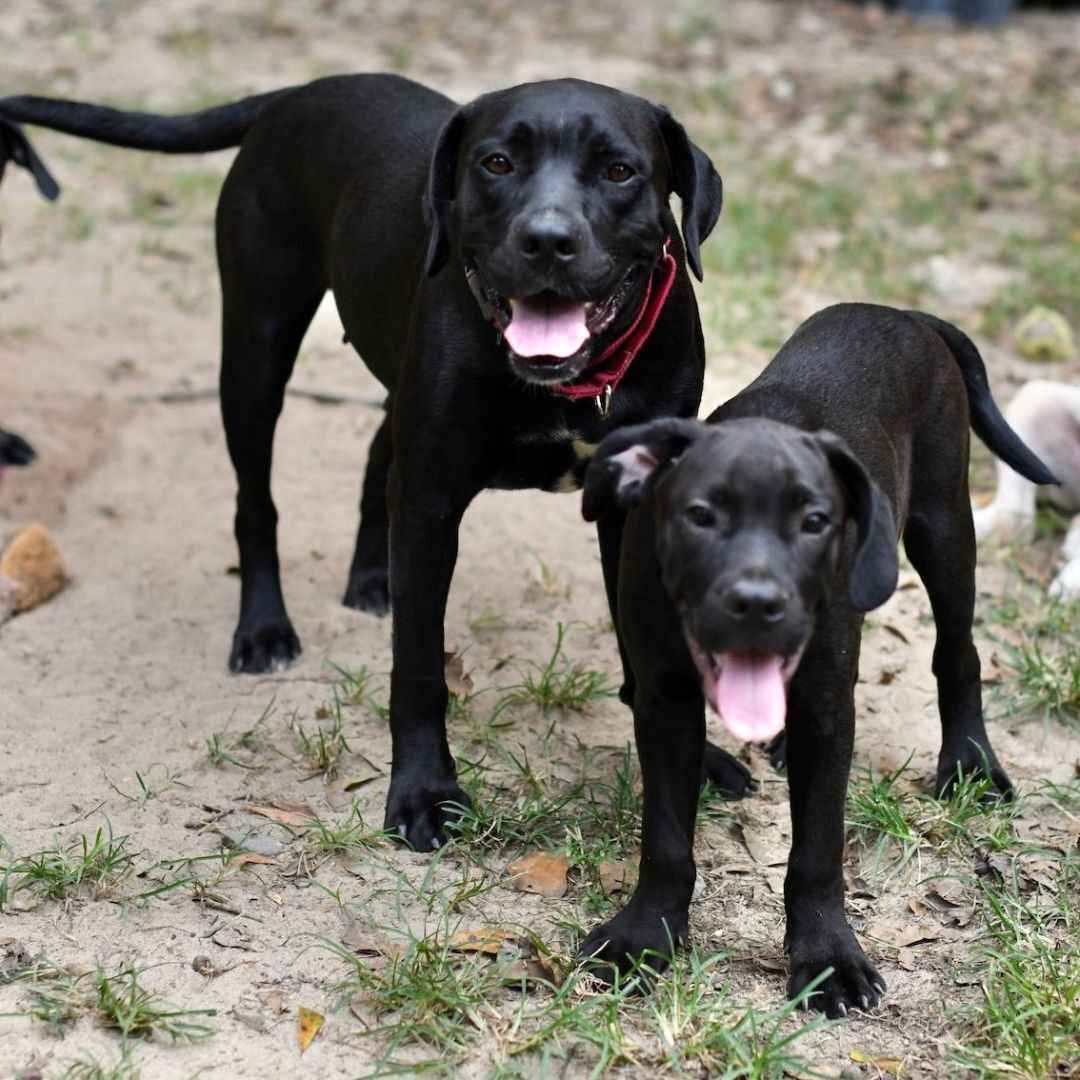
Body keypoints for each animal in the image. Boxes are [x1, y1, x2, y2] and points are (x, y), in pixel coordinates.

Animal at [0, 78, 743, 851]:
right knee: (255, 503)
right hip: (255, 350)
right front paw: (424, 792)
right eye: (497, 162)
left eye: (620, 171)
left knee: (372, 463)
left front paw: (695, 756)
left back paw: (369, 577)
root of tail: (300, 91)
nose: (547, 239)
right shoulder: (430, 506)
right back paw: (263, 628)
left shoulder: (634, 508)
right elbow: (417, 668)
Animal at [578, 302, 1058, 1010]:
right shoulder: (665, 699)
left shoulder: (830, 709)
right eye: (700, 515)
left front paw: (828, 957)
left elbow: (817, 850)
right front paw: (644, 937)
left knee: (959, 654)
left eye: (814, 522)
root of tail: (900, 312)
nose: (757, 603)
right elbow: (665, 839)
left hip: (944, 527)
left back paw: (971, 763)